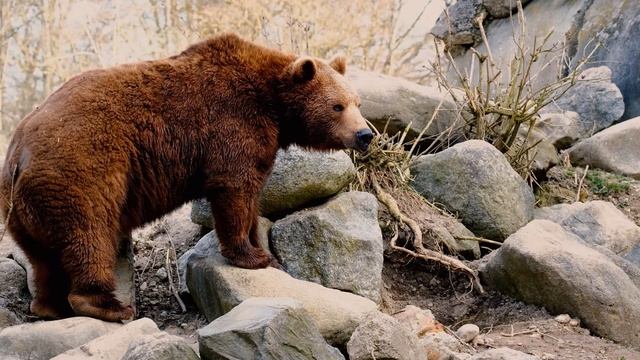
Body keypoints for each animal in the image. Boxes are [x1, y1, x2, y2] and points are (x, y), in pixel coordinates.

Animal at [0, 33, 372, 320]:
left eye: (357, 101)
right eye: (337, 106)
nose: (365, 134)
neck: (273, 103)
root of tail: (17, 155)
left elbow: (252, 197)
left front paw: (263, 249)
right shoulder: (231, 123)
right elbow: (234, 188)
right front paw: (252, 256)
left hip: (23, 207)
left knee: (42, 258)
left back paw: (48, 306)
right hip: (78, 173)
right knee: (90, 234)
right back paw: (110, 306)